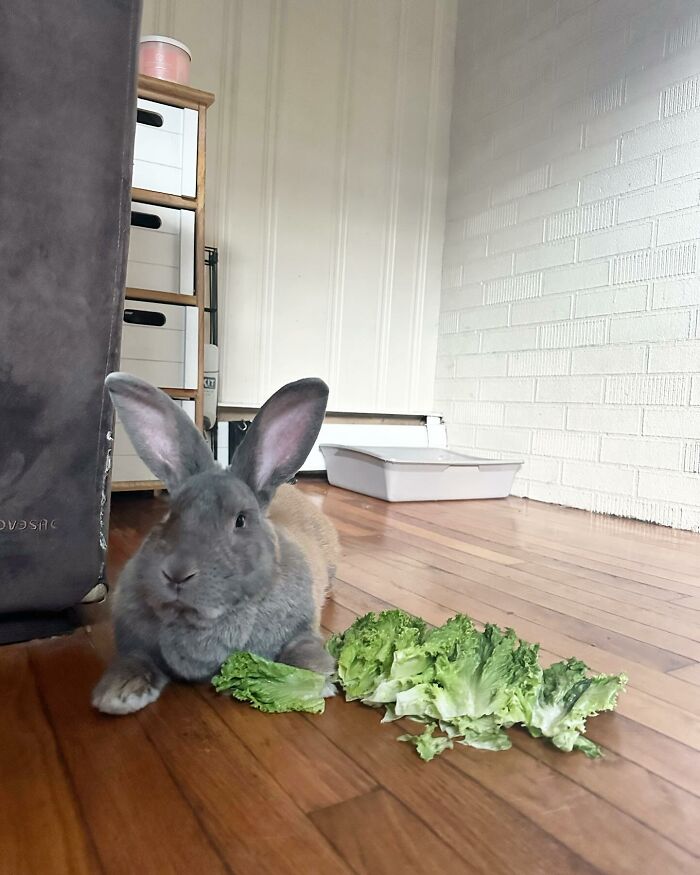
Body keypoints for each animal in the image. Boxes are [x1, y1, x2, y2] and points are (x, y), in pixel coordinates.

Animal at [92, 372, 340, 715]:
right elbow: (135, 658)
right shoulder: (138, 643)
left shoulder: (302, 627)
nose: (177, 573)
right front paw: (119, 693)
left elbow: (302, 647)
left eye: (240, 520)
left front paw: (316, 678)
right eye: (171, 514)